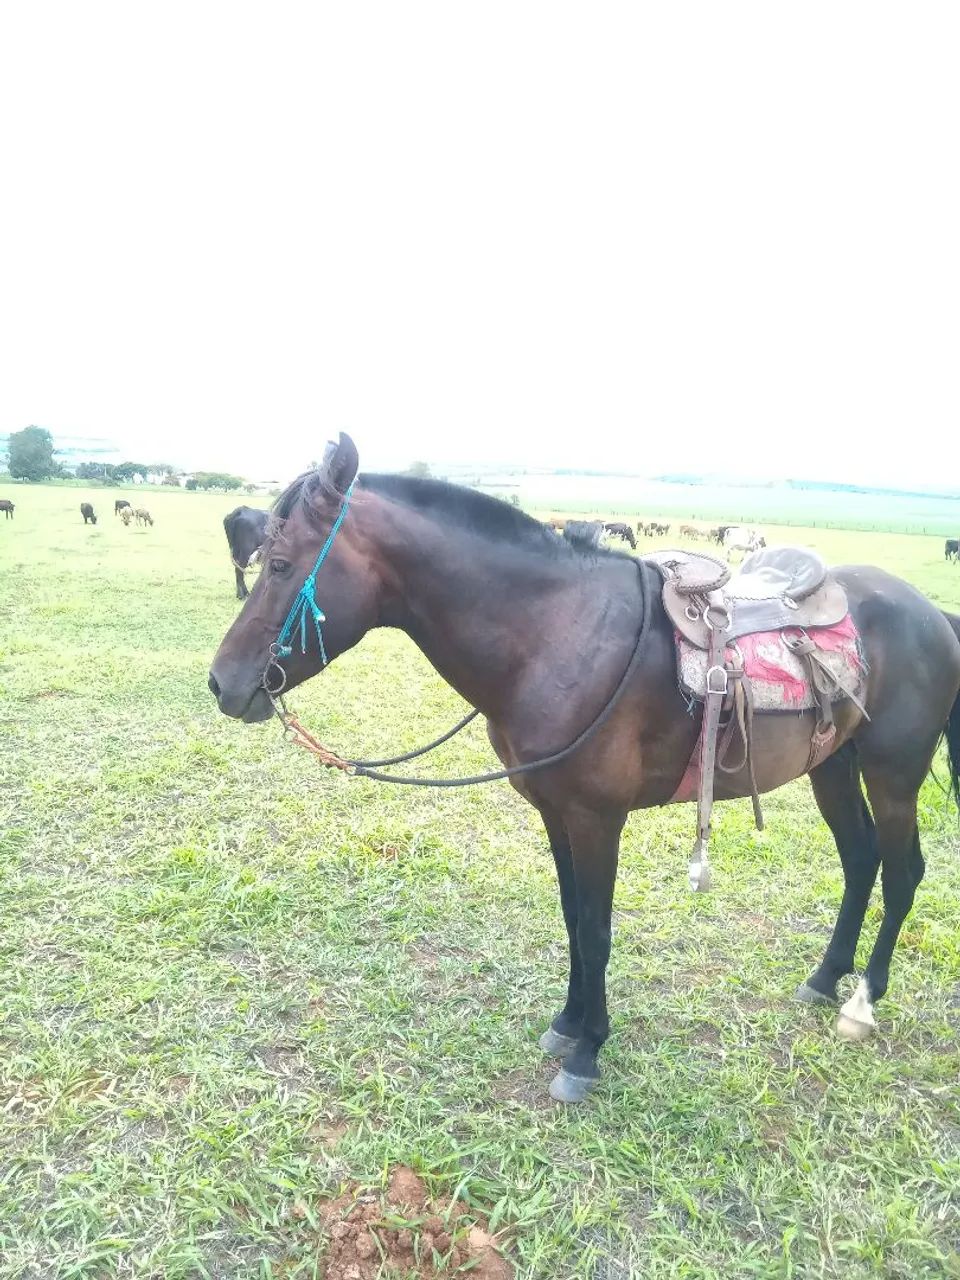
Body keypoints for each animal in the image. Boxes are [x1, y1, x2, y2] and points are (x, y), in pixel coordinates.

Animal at [209, 433, 960, 1105]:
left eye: (282, 564)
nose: (222, 683)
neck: (557, 634)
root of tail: (931, 612)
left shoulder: (599, 817)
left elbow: (596, 930)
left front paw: (588, 1052)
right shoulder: (556, 811)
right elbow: (573, 919)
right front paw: (568, 1023)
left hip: (894, 774)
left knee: (902, 872)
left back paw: (862, 1002)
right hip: (833, 765)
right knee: (861, 860)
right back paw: (825, 978)